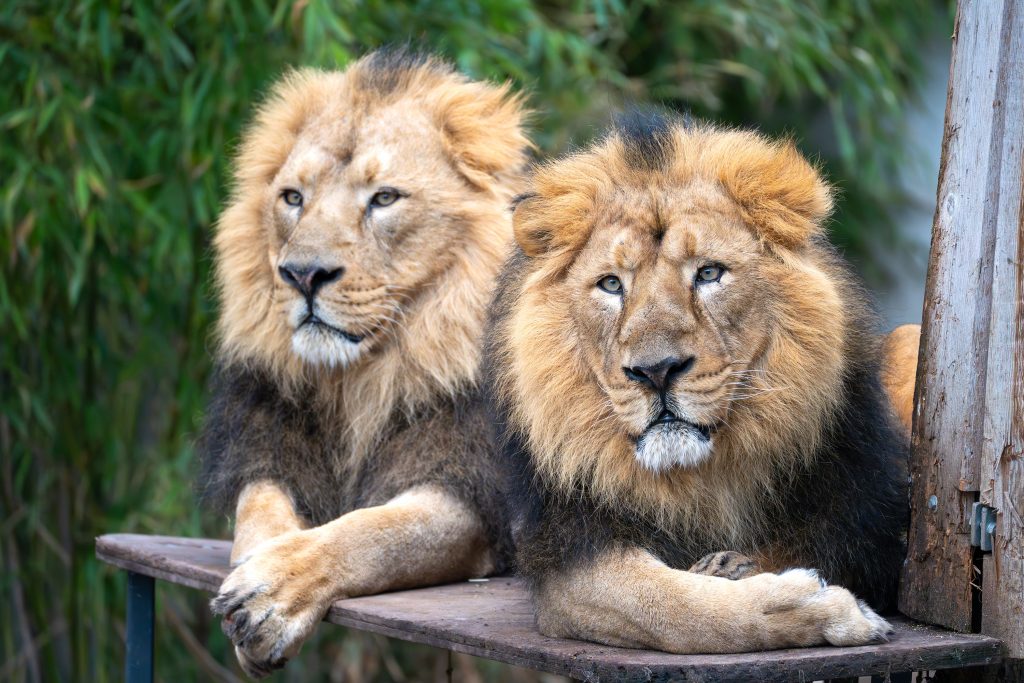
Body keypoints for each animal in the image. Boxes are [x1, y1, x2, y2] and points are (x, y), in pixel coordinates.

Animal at [197, 49, 529, 677]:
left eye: (384, 198)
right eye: (293, 198)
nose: (303, 274)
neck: (360, 380)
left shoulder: (470, 489)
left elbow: (371, 531)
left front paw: (272, 591)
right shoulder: (270, 448)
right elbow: (259, 513)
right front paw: (257, 565)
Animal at [483, 110, 915, 654]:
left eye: (709, 273)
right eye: (611, 284)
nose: (655, 371)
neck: (702, 486)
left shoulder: (862, 531)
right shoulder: (565, 553)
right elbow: (667, 606)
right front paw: (816, 606)